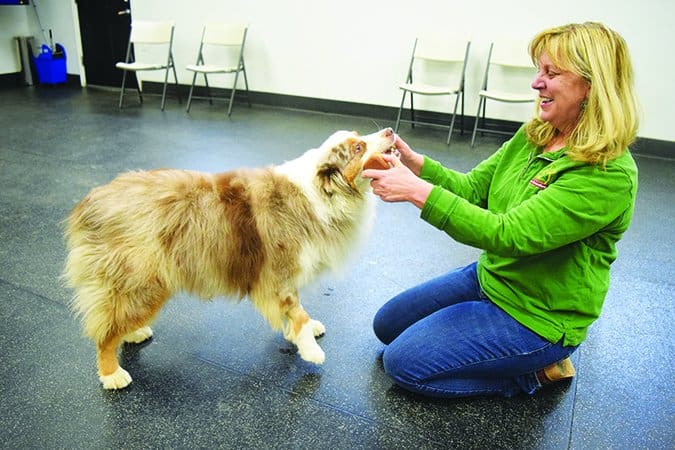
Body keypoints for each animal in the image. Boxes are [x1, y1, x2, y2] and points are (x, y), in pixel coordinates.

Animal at [63, 127, 396, 390]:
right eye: (358, 148)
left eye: (359, 136)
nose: (391, 130)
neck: (322, 194)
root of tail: (92, 201)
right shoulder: (279, 272)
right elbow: (296, 310)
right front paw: (310, 350)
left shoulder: (285, 277)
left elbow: (295, 310)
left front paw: (303, 331)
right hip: (142, 279)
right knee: (105, 331)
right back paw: (112, 374)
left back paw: (133, 333)